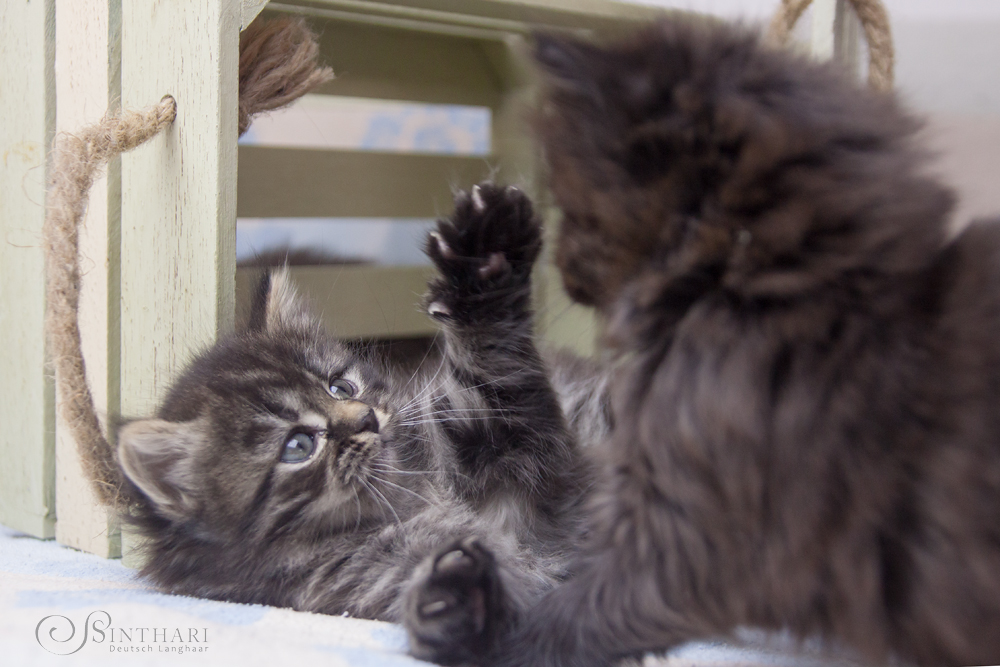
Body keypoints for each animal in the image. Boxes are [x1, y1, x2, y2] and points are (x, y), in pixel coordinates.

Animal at [114, 184, 604, 667]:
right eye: (298, 446)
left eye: (341, 387)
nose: (366, 417)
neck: (417, 498)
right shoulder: (358, 581)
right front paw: (460, 597)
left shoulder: (523, 451)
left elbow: (490, 366)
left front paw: (485, 251)